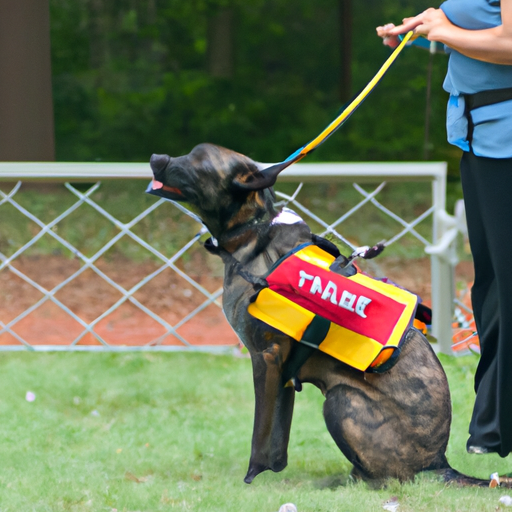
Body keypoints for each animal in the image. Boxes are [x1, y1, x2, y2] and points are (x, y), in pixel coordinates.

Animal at [148, 142, 500, 486]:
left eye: (197, 159)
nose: (155, 156)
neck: (253, 235)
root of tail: (439, 463)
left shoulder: (265, 357)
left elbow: (260, 433)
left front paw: (250, 478)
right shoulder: (282, 371)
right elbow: (279, 436)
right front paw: (273, 471)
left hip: (342, 401)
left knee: (386, 479)